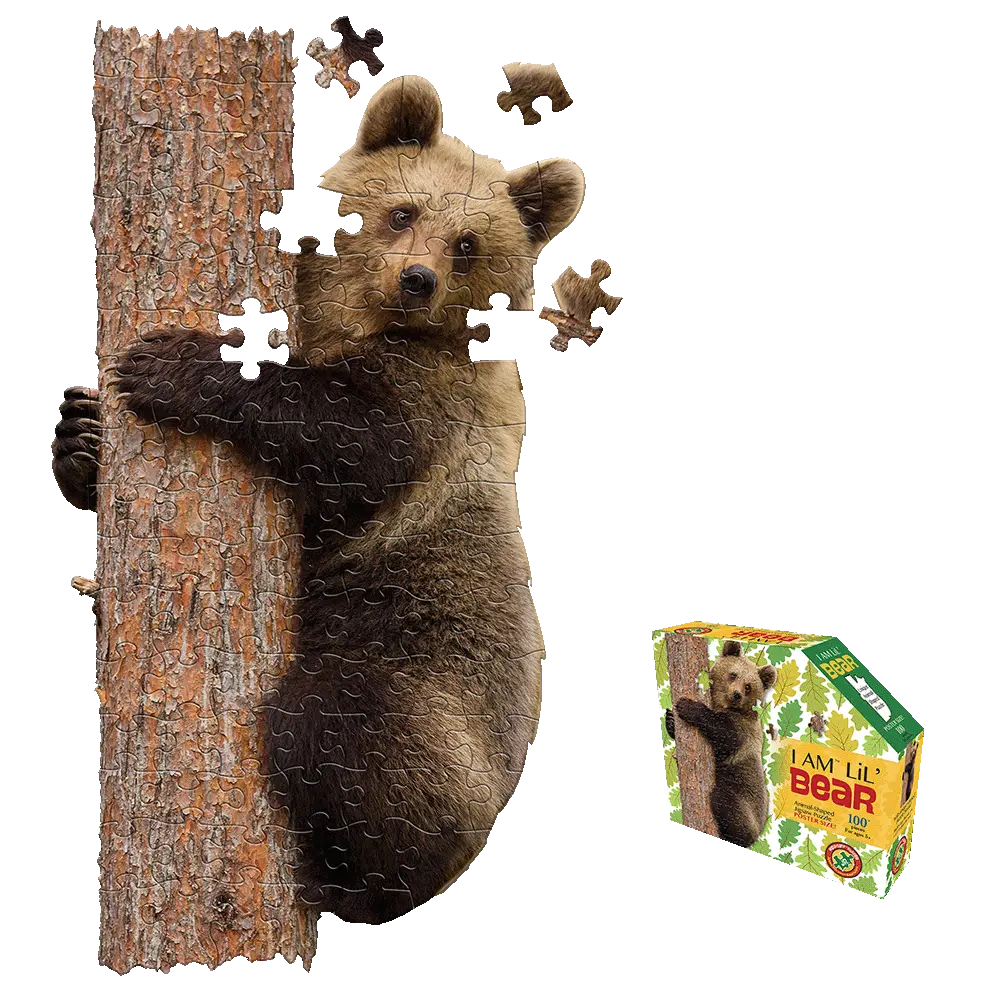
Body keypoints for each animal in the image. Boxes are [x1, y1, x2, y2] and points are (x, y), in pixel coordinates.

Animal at [54, 75, 584, 923]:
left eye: (468, 242)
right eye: (403, 211)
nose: (416, 280)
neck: (356, 322)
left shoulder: (432, 408)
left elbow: (346, 437)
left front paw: (172, 363)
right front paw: (80, 434)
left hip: (425, 691)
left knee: (337, 726)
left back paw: (346, 885)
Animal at [665, 640, 775, 846]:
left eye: (748, 686)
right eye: (733, 674)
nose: (736, 694)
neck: (723, 706)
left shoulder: (742, 730)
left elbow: (725, 736)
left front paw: (687, 706)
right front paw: (670, 719)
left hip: (742, 794)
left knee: (725, 802)